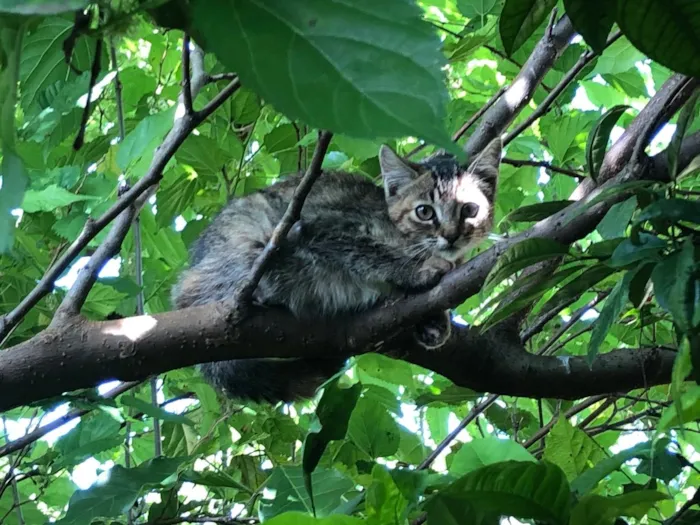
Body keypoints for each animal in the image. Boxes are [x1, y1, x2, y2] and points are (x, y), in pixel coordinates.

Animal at [174, 138, 504, 402]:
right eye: (424, 212)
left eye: (469, 209)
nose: (451, 235)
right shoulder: (324, 224)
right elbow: (368, 251)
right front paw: (417, 271)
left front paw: (435, 322)